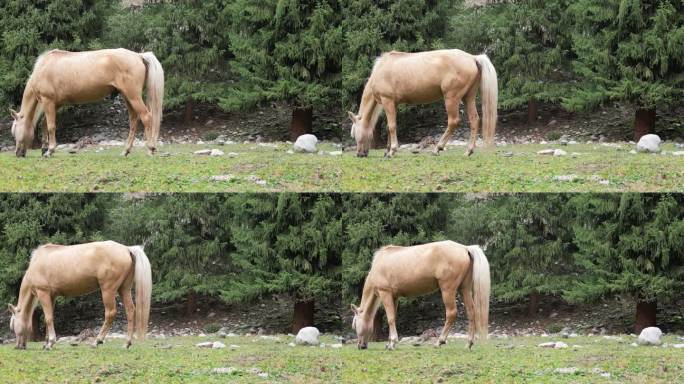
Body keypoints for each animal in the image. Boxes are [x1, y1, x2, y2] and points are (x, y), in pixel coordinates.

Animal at [6, 242, 152, 350]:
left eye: (12, 326)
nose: (18, 346)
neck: (37, 262)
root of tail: (127, 249)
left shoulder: (43, 293)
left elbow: (48, 318)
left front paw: (50, 343)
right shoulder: (52, 296)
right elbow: (49, 318)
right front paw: (47, 343)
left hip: (108, 290)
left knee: (110, 313)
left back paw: (97, 341)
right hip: (124, 289)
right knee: (130, 311)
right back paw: (127, 343)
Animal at [8, 49, 164, 158]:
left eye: (14, 131)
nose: (17, 153)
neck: (43, 68)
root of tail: (138, 55)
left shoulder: (48, 102)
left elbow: (51, 126)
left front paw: (50, 150)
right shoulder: (54, 105)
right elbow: (44, 125)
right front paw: (45, 149)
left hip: (133, 96)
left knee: (146, 117)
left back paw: (151, 149)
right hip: (128, 97)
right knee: (133, 121)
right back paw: (126, 151)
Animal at [348, 49, 496, 158]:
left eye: (355, 134)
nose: (359, 154)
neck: (381, 69)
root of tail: (472, 58)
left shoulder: (387, 100)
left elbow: (391, 126)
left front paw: (392, 151)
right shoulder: (393, 104)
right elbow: (390, 127)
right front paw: (387, 150)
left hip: (451, 98)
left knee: (453, 121)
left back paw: (438, 148)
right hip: (468, 97)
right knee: (474, 120)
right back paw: (468, 151)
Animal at [350, 242, 488, 350]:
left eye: (354, 325)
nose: (360, 346)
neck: (379, 264)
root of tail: (465, 248)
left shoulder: (385, 293)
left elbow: (390, 319)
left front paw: (392, 343)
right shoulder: (394, 297)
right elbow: (393, 317)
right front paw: (390, 343)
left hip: (448, 290)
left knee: (451, 313)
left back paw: (439, 341)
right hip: (464, 289)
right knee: (471, 312)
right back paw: (469, 343)